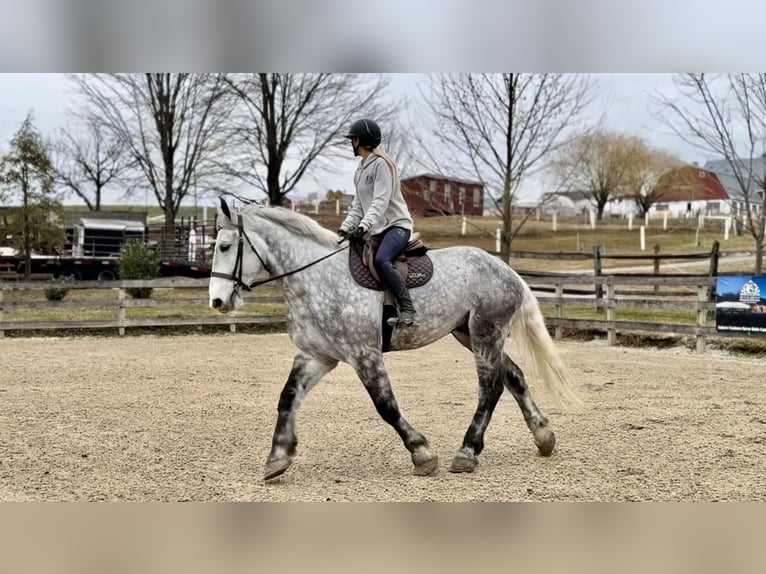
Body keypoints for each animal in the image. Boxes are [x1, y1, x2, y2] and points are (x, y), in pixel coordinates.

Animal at [208, 197, 580, 481]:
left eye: (224, 246)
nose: (217, 301)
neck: (318, 278)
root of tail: (507, 270)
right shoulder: (315, 357)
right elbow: (287, 399)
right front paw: (278, 458)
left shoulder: (365, 355)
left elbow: (386, 406)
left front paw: (422, 453)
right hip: (469, 333)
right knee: (513, 376)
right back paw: (543, 436)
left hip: (485, 333)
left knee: (490, 386)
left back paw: (467, 452)